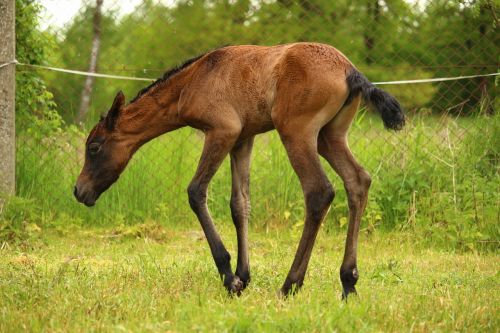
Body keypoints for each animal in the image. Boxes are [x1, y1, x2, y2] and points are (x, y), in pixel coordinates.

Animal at [74, 42, 404, 298]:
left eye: (94, 147)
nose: (79, 191)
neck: (193, 80)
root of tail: (349, 71)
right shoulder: (244, 139)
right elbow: (240, 204)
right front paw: (243, 277)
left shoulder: (223, 131)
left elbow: (196, 192)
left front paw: (229, 277)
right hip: (330, 136)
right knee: (357, 181)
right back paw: (348, 283)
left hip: (297, 132)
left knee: (318, 191)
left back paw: (290, 284)